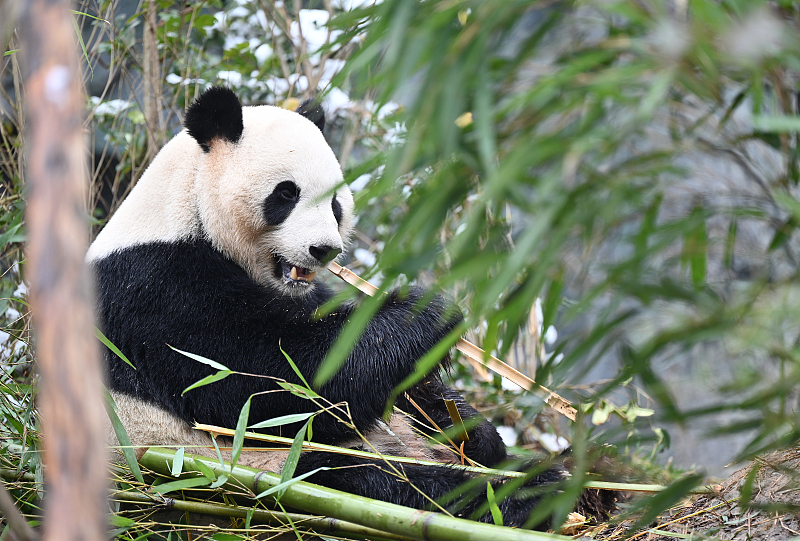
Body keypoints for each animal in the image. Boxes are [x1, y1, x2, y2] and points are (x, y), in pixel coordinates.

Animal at [86, 85, 612, 528]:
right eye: (285, 194)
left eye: (336, 202)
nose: (324, 251)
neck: (186, 207)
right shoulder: (157, 290)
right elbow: (273, 383)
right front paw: (426, 313)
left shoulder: (307, 294)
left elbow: (393, 383)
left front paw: (468, 422)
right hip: (239, 469)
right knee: (378, 483)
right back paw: (533, 495)